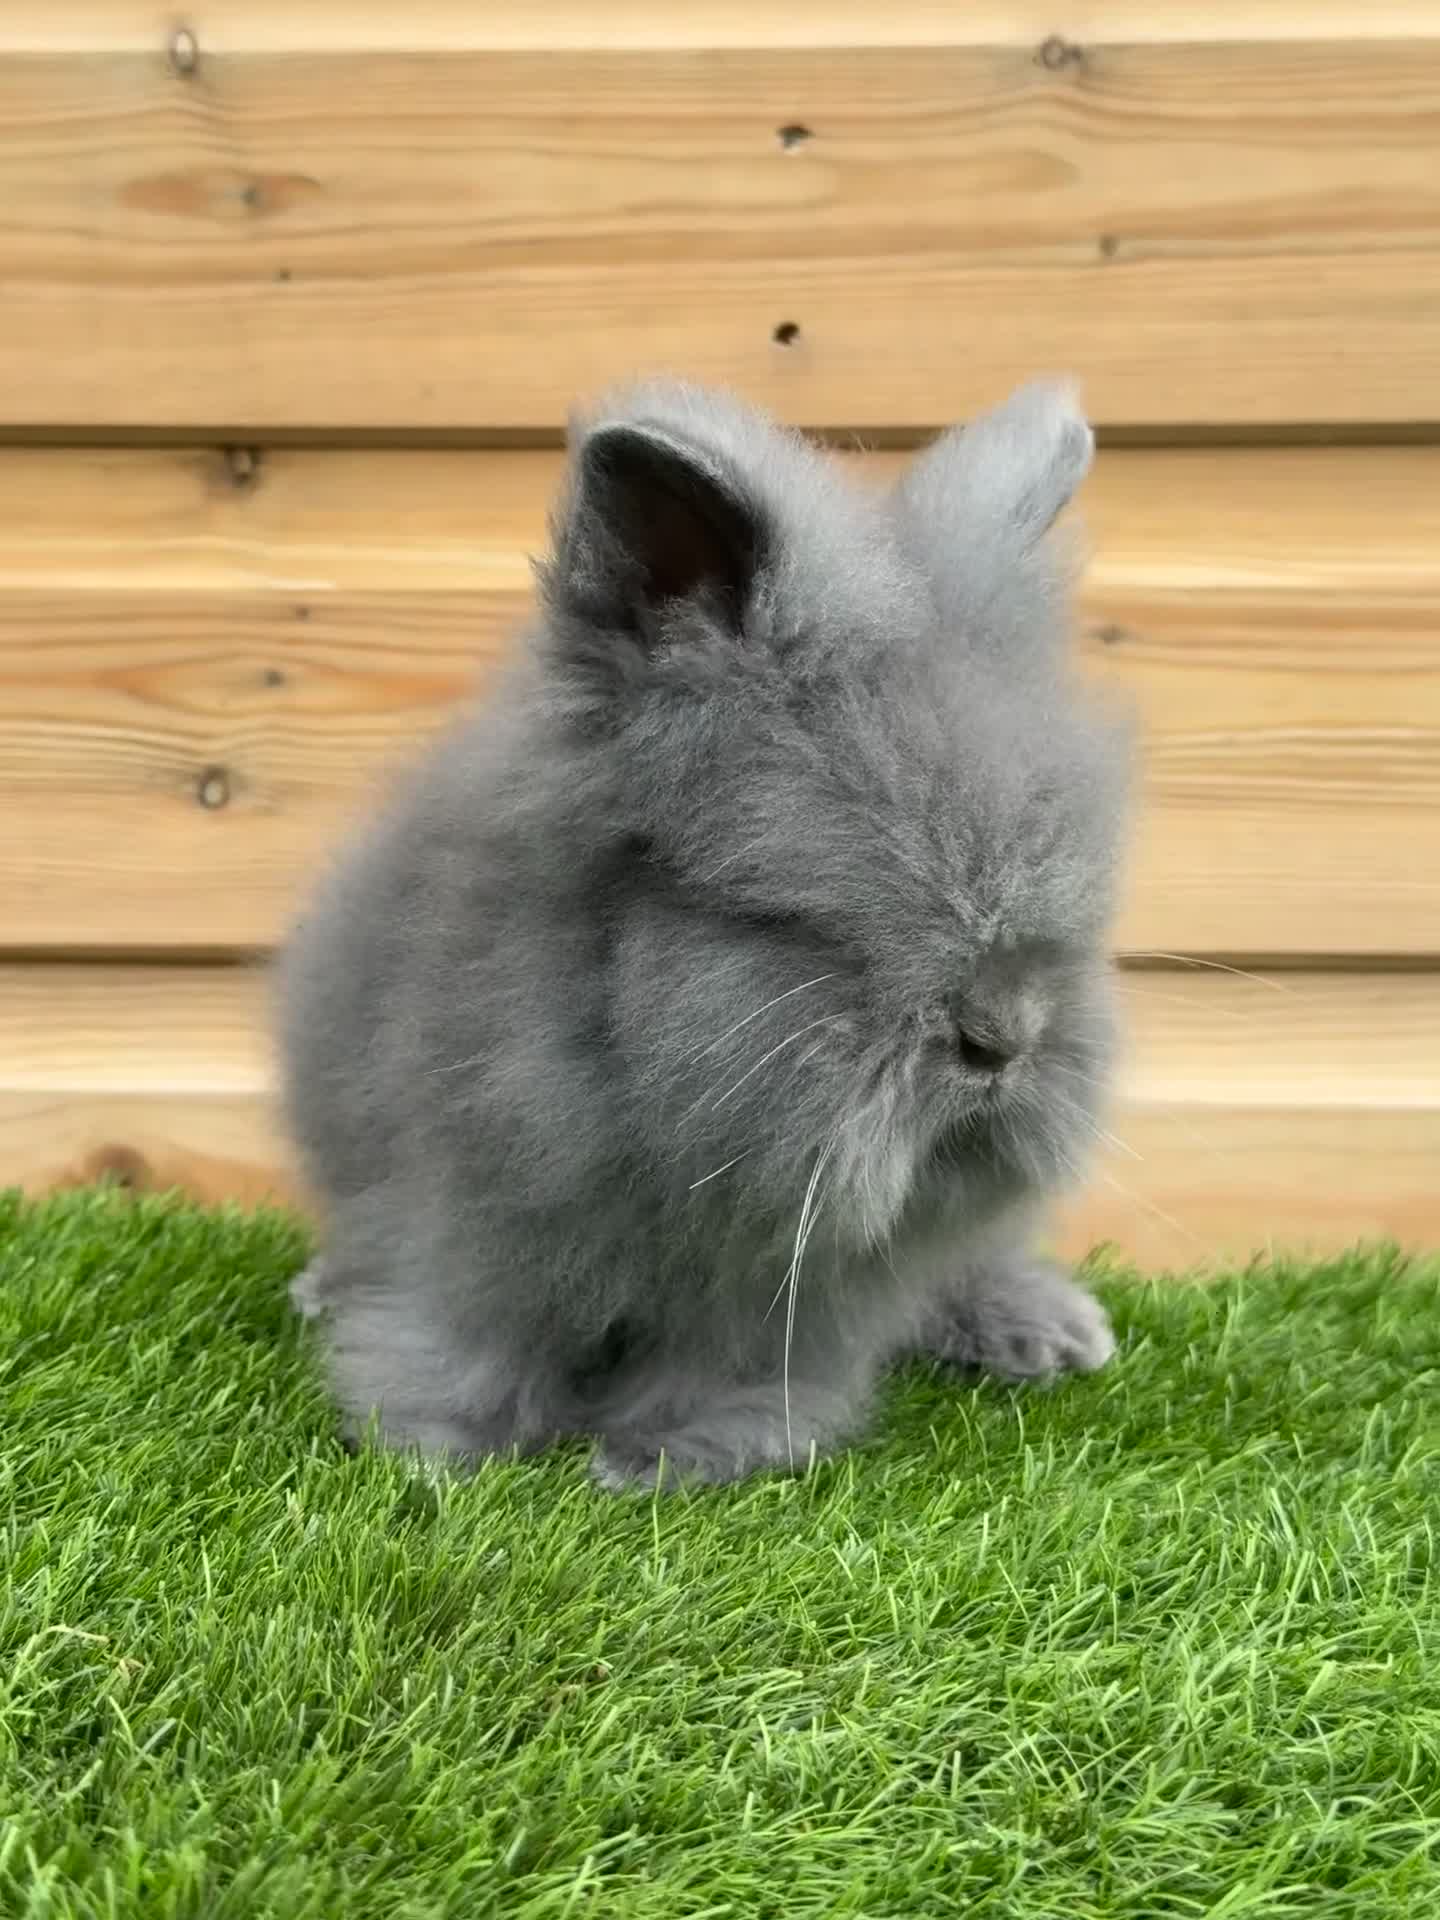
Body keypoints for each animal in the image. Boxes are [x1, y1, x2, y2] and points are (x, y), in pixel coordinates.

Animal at [277, 375, 1132, 1490]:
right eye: (796, 902)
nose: (1003, 1039)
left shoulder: (779, 1287)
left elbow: (726, 1366)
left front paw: (660, 1459)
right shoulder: (469, 1202)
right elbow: (473, 1332)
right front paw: (439, 1448)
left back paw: (1049, 1333)